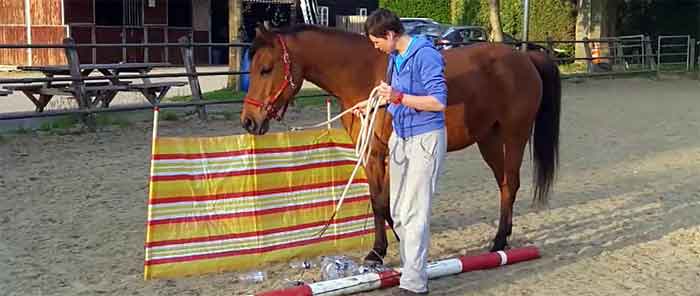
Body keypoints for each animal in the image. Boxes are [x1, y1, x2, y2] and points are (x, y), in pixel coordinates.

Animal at [238, 24, 560, 264]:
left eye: (266, 68)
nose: (249, 121)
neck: (363, 75)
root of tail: (525, 58)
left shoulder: (378, 152)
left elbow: (381, 202)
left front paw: (377, 252)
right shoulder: (374, 154)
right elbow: (382, 201)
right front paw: (394, 241)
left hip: (514, 135)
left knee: (512, 183)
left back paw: (499, 241)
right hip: (488, 139)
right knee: (504, 184)